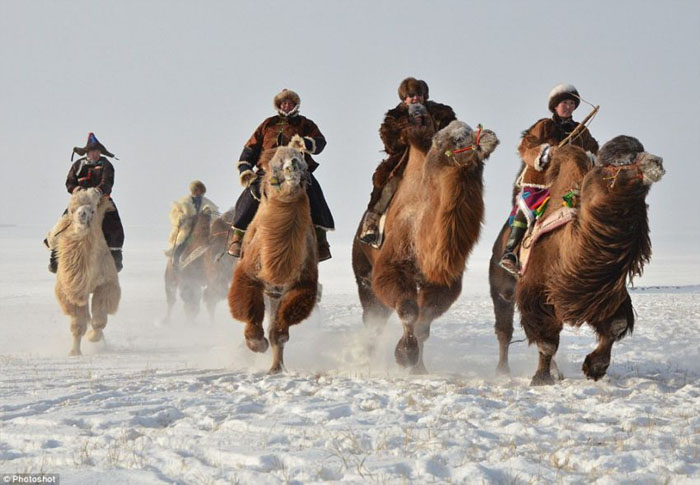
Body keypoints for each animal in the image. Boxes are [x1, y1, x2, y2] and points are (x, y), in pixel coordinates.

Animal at [53, 189, 120, 356]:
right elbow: (78, 323)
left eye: (92, 210)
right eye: (71, 210)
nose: (82, 214)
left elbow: (99, 318)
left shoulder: (106, 284)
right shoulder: (71, 291)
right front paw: (74, 352)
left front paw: (93, 337)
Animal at [228, 137, 318, 374]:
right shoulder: (248, 274)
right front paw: (257, 343)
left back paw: (276, 366)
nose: (292, 164)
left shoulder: (303, 282)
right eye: (275, 165)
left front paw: (275, 362)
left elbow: (281, 329)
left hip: (276, 293)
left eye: (303, 162)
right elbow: (248, 307)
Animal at [356, 119, 498, 372]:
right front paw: (405, 355)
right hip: (363, 270)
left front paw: (418, 367)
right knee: (373, 317)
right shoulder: (391, 267)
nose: (485, 138)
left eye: (469, 131)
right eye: (450, 139)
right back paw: (367, 359)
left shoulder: (442, 282)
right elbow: (409, 310)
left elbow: (424, 322)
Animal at [490, 134, 664, 384]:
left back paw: (557, 371)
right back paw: (503, 370)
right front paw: (541, 379)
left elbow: (616, 324)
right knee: (504, 329)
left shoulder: (601, 292)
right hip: (501, 284)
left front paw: (595, 368)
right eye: (616, 162)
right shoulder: (536, 291)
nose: (656, 162)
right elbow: (547, 341)